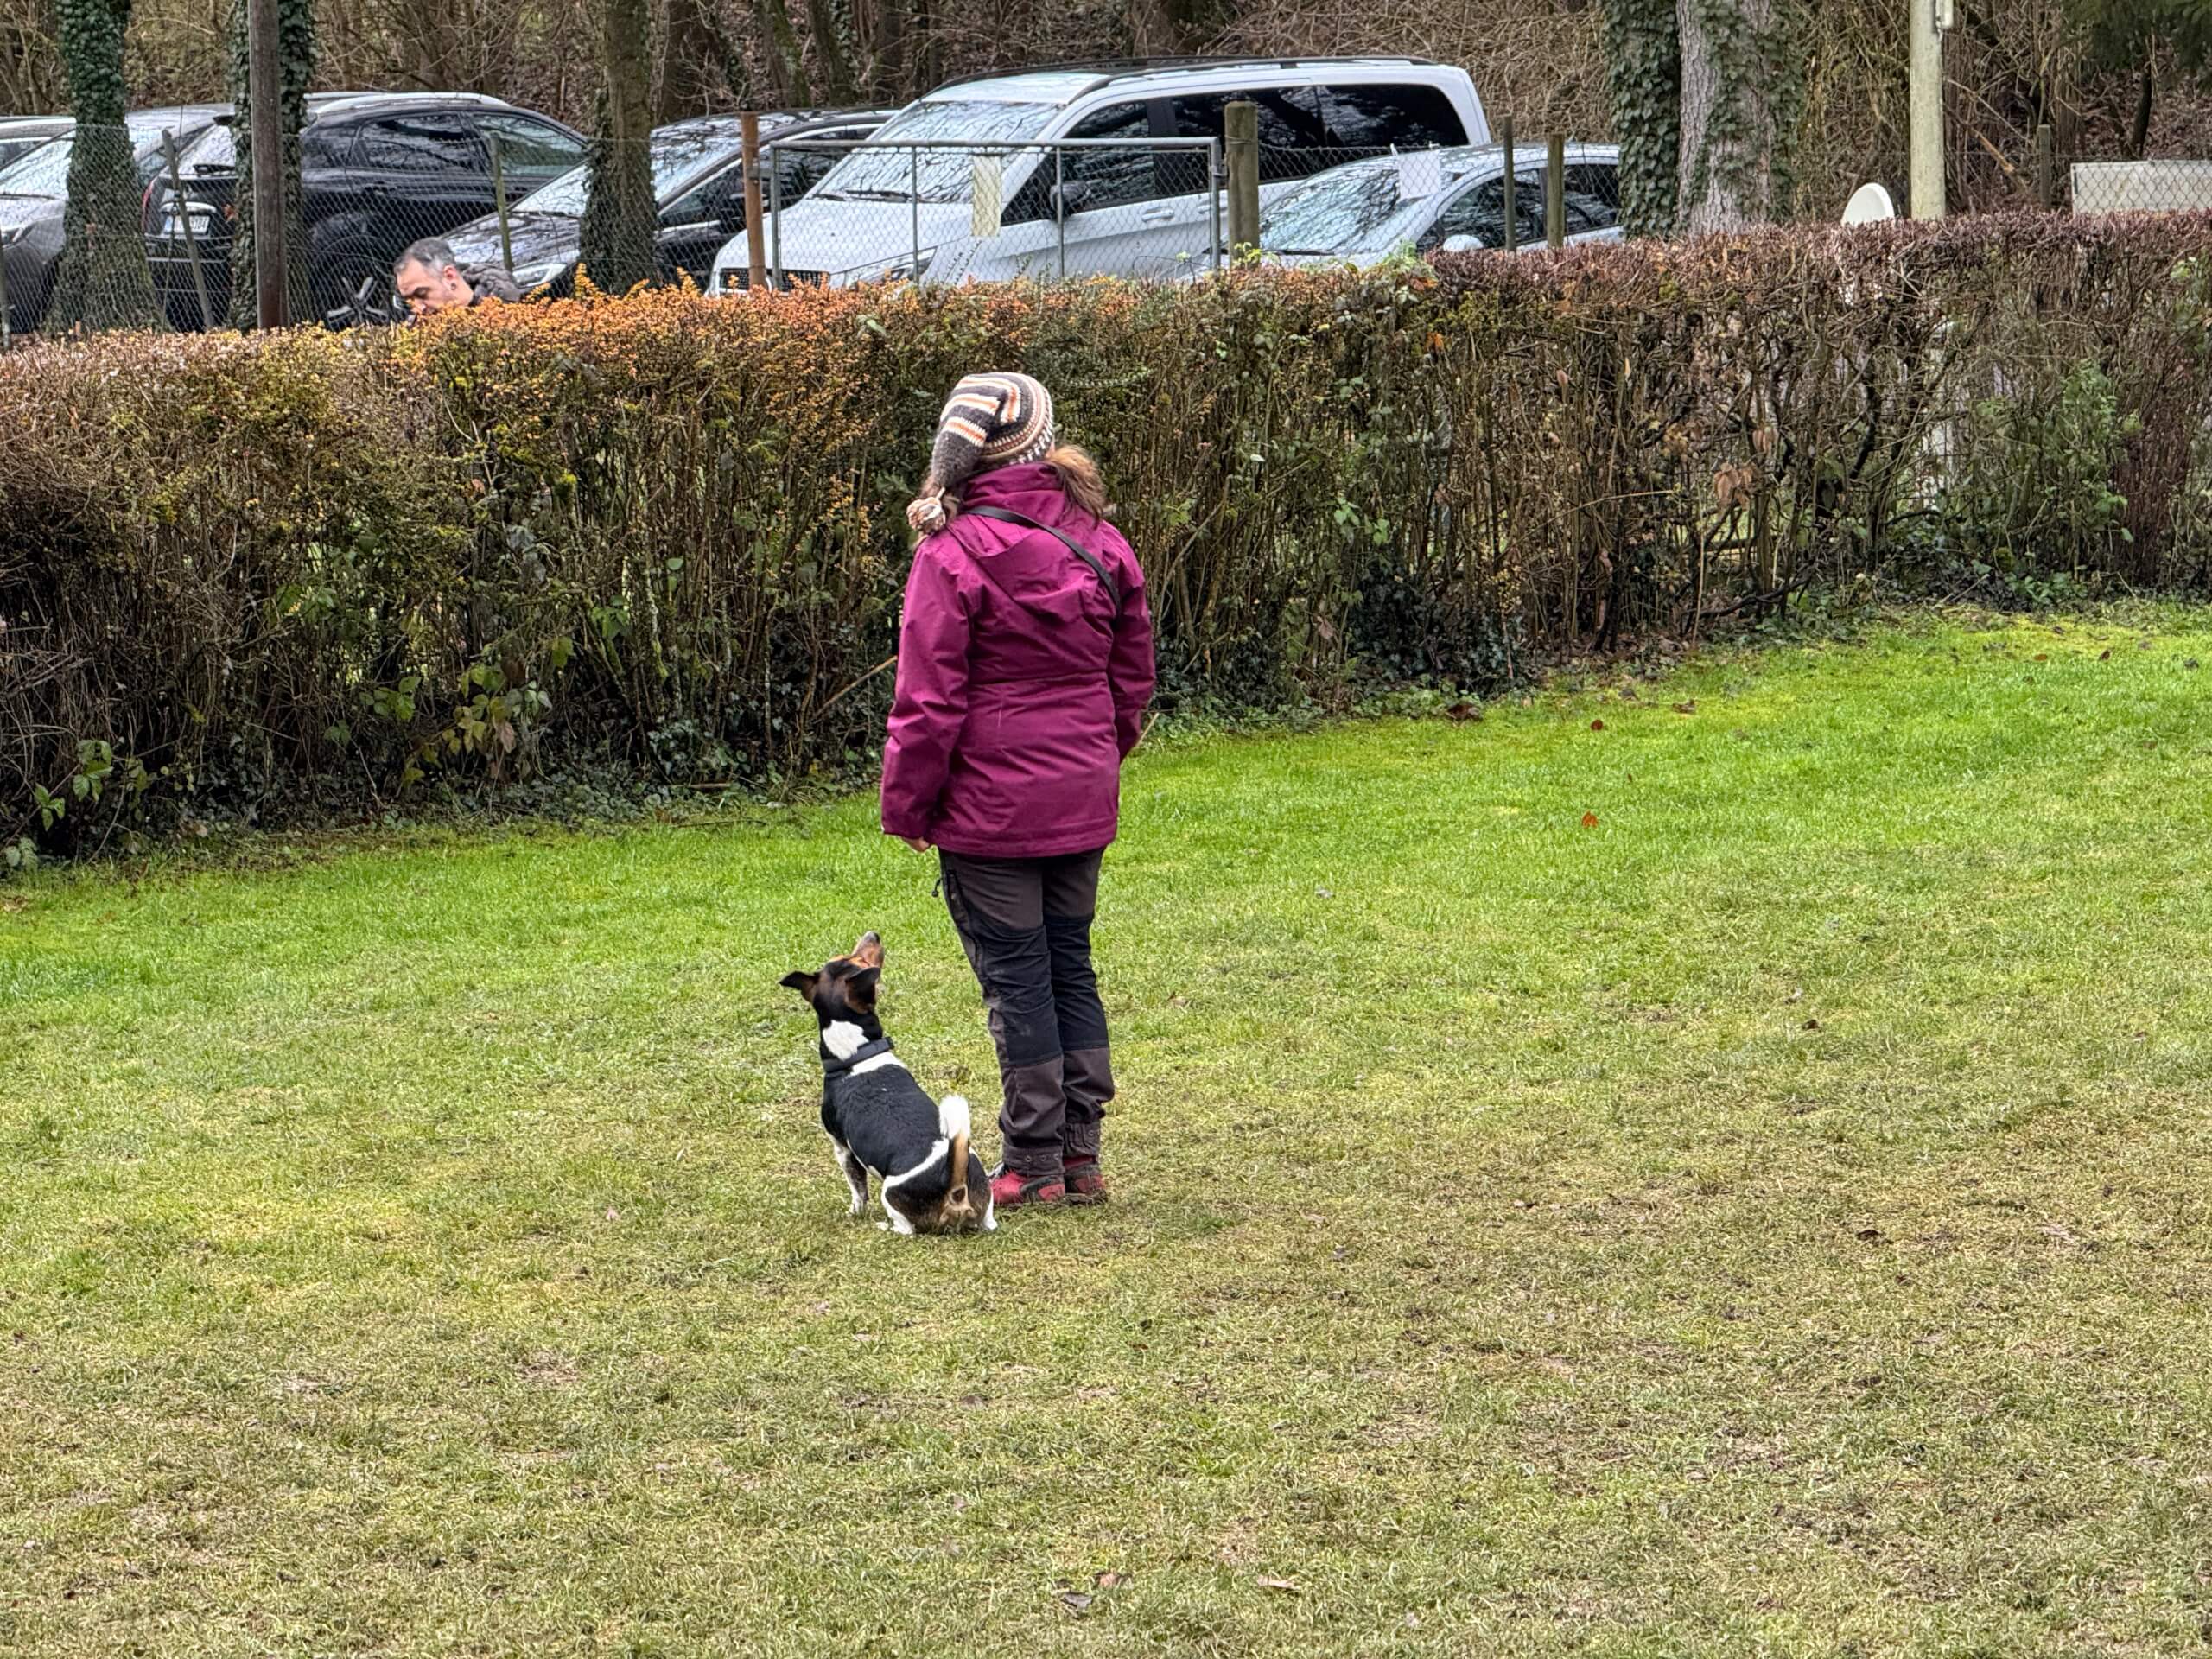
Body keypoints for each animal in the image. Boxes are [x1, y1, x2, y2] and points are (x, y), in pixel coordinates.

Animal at [780, 931, 994, 1236]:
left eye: (857, 959)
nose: (874, 934)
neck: (857, 1053)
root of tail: (955, 1187)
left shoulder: (842, 1148)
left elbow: (858, 1191)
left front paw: (854, 1213)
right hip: (985, 1205)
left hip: (890, 1194)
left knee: (907, 1229)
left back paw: (884, 1226)